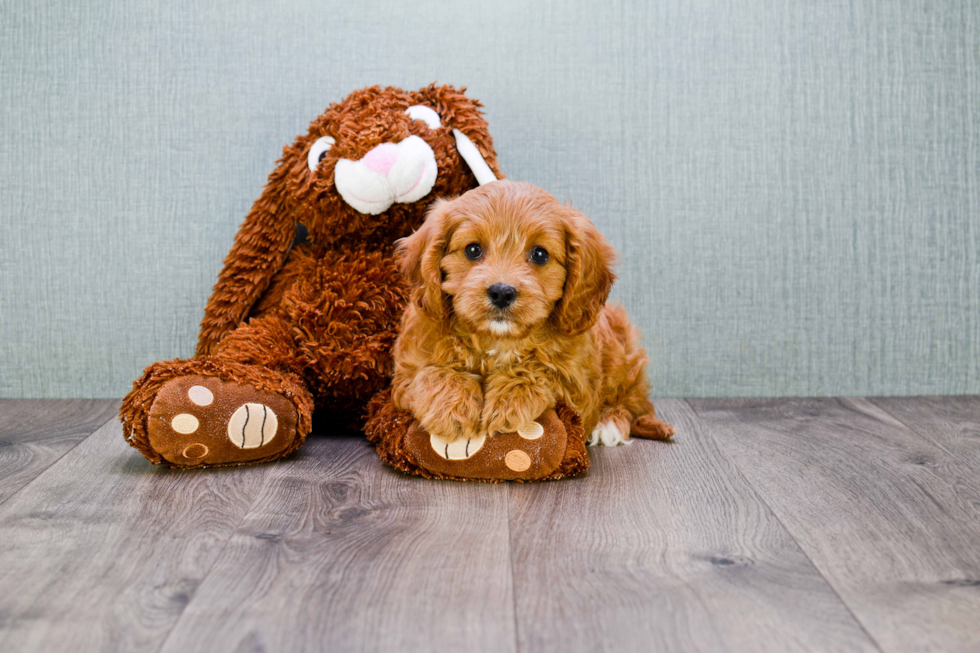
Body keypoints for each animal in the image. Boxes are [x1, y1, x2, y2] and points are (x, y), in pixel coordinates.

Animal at [390, 178, 672, 446]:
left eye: (540, 254)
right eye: (472, 250)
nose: (502, 292)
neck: (497, 340)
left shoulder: (578, 384)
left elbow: (541, 370)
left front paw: (507, 399)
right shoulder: (405, 373)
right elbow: (430, 373)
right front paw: (451, 407)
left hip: (622, 354)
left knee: (635, 401)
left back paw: (609, 423)